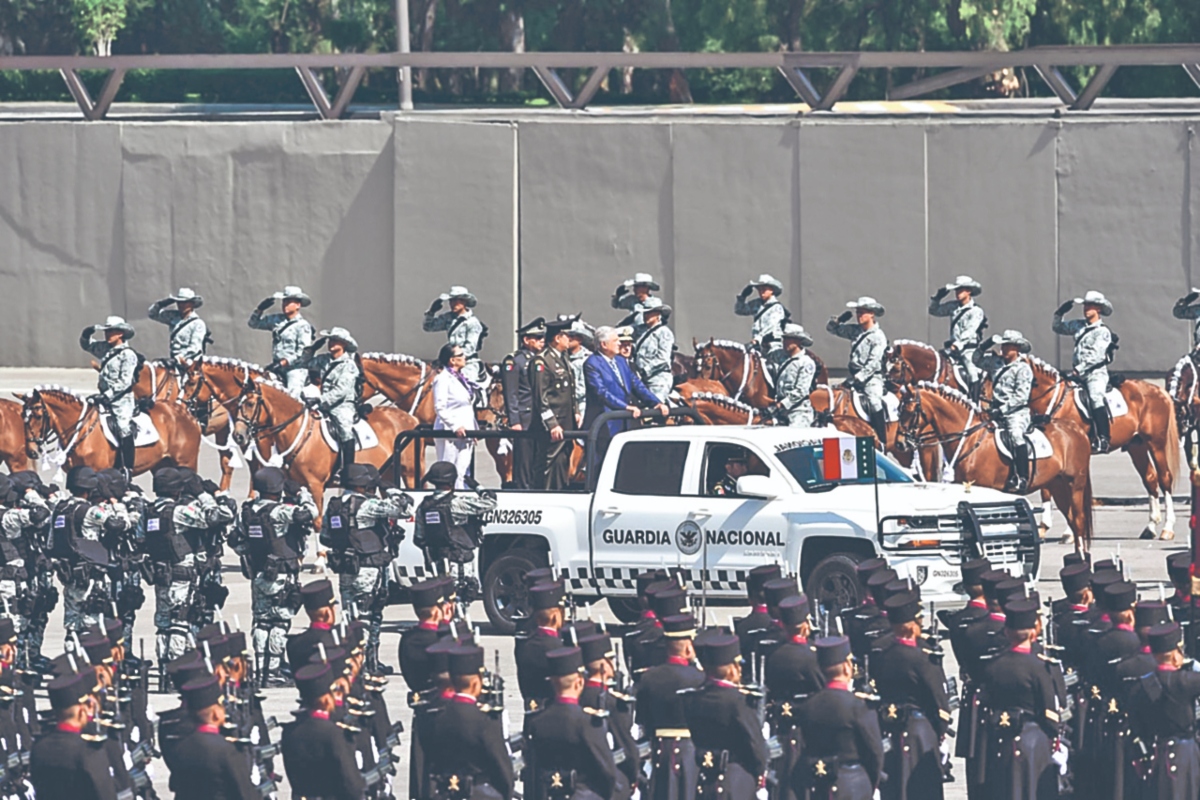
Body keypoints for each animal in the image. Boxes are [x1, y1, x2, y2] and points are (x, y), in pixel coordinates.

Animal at [22, 386, 200, 474]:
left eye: (38, 415)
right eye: (23, 416)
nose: (31, 451)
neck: (82, 431)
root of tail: (188, 414)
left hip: (186, 463)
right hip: (162, 464)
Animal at [892, 383, 1099, 556]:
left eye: (910, 411)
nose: (900, 444)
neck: (970, 440)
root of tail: (1076, 429)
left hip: (1074, 484)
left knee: (1078, 520)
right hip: (1058, 487)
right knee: (1072, 520)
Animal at [1022, 355, 1180, 537]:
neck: (1057, 402)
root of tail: (1158, 390)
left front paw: (1070, 532)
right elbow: (1046, 488)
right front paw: (1044, 526)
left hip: (1156, 444)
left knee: (1165, 478)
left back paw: (1168, 528)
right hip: (1137, 446)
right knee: (1150, 479)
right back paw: (1151, 527)